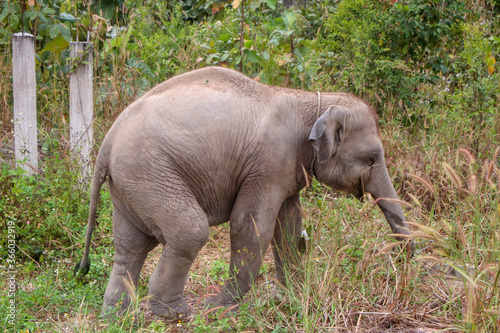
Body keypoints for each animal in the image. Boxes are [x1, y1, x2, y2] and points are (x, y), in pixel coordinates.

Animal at [76, 66, 412, 318]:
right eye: (372, 158)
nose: (406, 262)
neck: (311, 102)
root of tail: (106, 143)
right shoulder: (268, 165)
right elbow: (251, 227)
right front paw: (220, 307)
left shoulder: (285, 170)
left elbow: (288, 228)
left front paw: (286, 299)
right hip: (150, 175)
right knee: (189, 232)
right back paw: (175, 313)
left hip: (130, 185)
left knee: (131, 247)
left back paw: (118, 317)